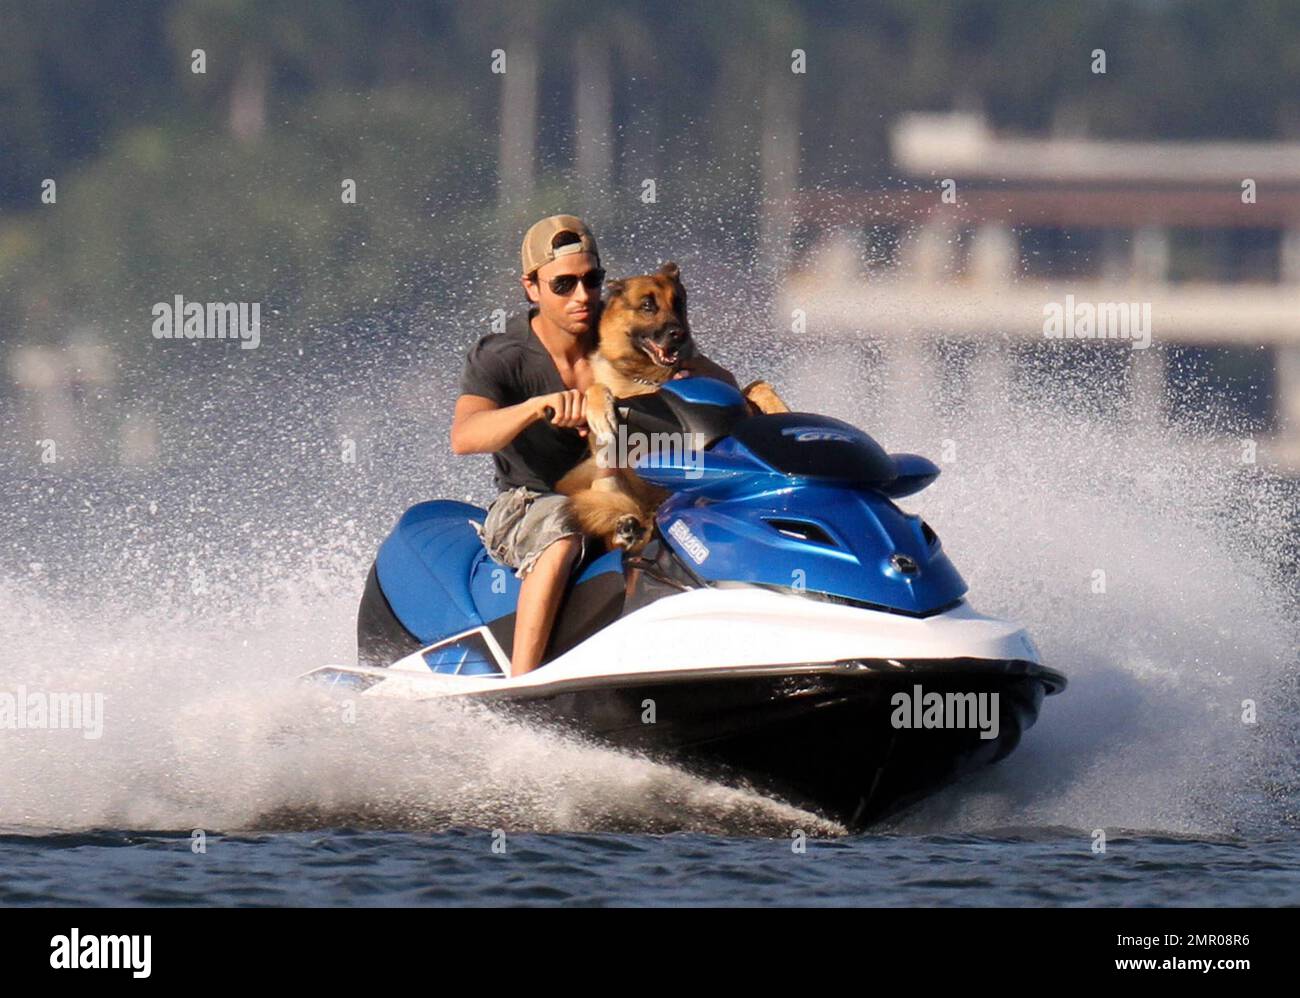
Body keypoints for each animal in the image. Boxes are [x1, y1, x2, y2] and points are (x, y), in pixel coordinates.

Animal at [553, 262, 785, 553]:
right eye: (647, 305)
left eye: (679, 303)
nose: (680, 334)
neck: (650, 378)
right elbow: (597, 389)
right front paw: (600, 411)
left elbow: (759, 386)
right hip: (601, 473)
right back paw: (626, 530)